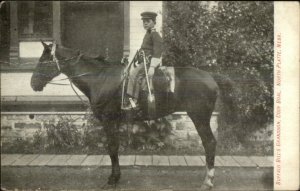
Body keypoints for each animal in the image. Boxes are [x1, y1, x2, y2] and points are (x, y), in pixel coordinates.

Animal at [31, 41, 237, 190]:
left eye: (43, 61)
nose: (33, 83)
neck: (100, 78)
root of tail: (211, 76)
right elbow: (114, 148)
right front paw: (116, 176)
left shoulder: (109, 120)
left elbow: (112, 147)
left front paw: (113, 179)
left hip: (199, 117)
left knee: (209, 143)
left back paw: (208, 181)